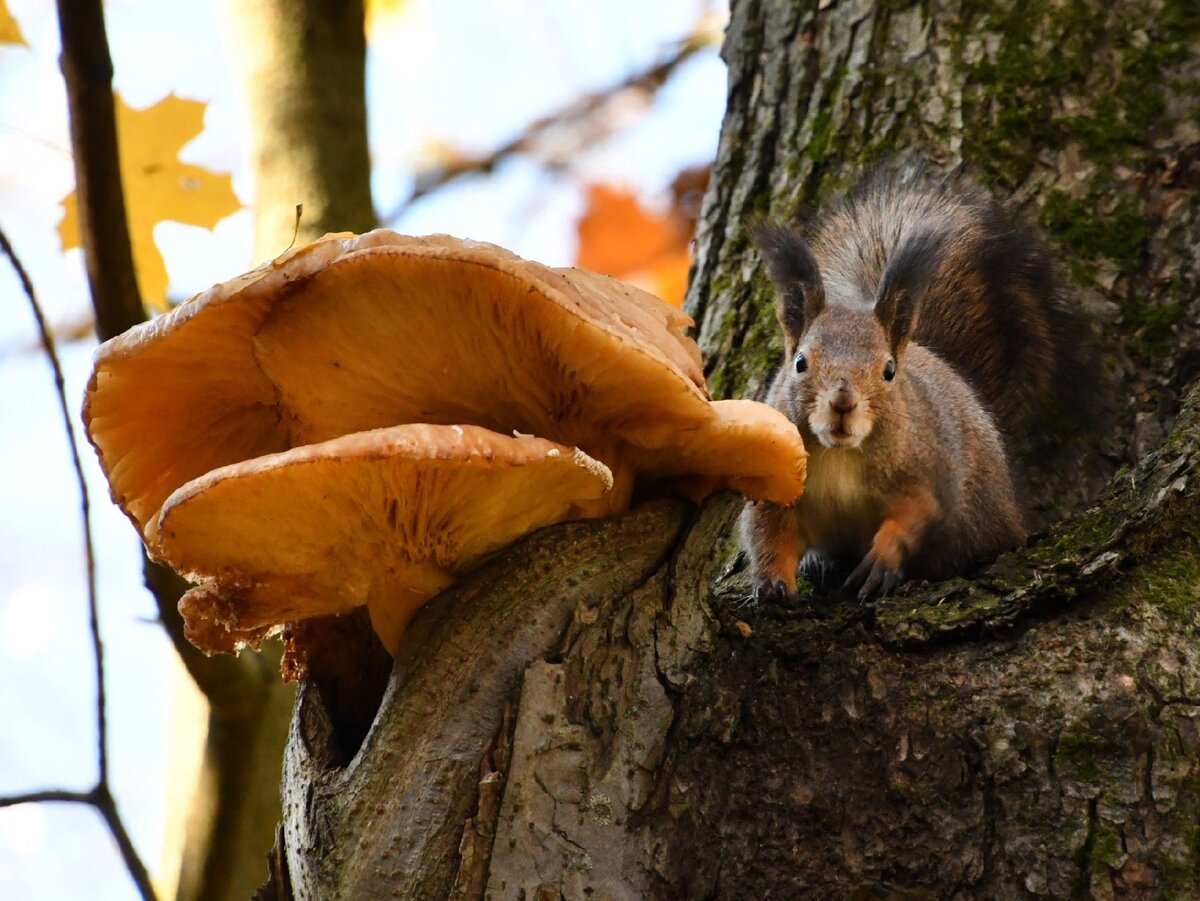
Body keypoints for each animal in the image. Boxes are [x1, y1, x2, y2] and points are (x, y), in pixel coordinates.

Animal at [739, 170, 1099, 607]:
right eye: (800, 363)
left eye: (889, 370)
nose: (842, 402)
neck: (841, 455)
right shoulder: (775, 486)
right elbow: (767, 532)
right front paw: (771, 582)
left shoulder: (929, 471)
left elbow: (917, 515)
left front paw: (881, 562)